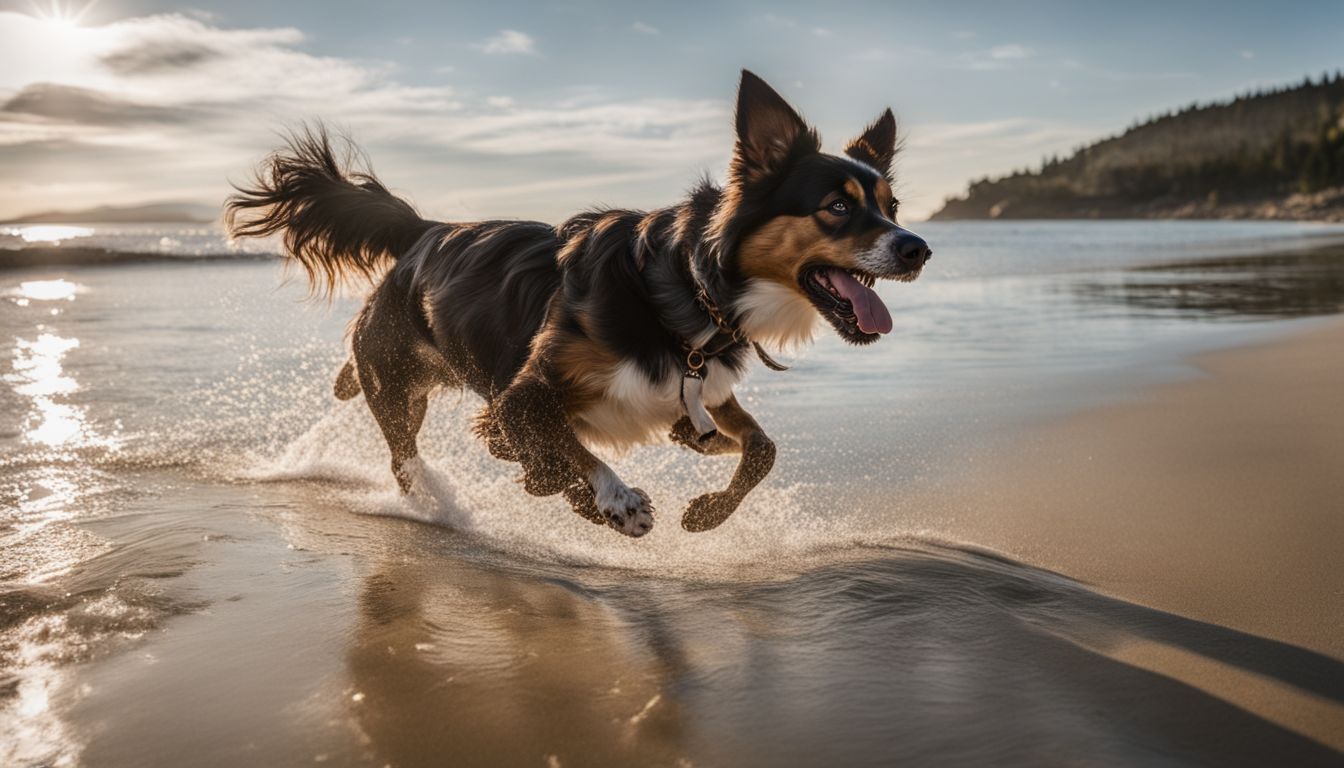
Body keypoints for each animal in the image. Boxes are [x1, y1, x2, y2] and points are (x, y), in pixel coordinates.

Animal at [225, 71, 930, 540]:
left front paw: (706, 508)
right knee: (403, 459)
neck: (685, 291)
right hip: (398, 387)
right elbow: (563, 449)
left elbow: (762, 449)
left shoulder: (698, 398)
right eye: (836, 206)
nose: (918, 247)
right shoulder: (520, 397)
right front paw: (612, 500)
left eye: (891, 206)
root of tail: (425, 231)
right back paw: (441, 500)